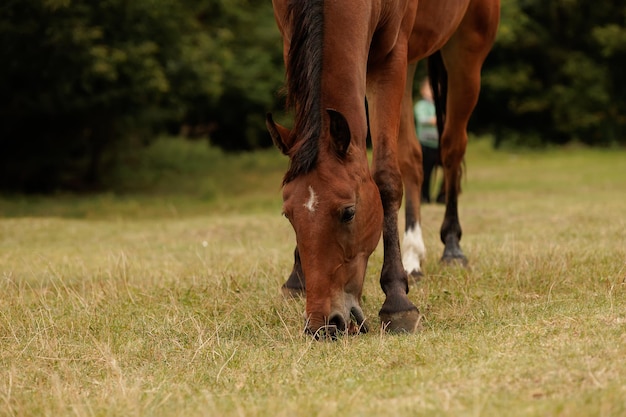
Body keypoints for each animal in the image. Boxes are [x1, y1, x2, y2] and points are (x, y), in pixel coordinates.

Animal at [266, 0, 500, 334]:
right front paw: (296, 279)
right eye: (288, 215)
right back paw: (413, 257)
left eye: (349, 212)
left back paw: (452, 247)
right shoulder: (291, 38)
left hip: (467, 50)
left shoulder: (389, 54)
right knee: (413, 160)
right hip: (412, 59)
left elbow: (386, 178)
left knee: (451, 149)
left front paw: (397, 301)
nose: (324, 325)